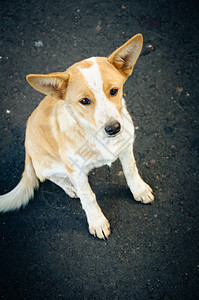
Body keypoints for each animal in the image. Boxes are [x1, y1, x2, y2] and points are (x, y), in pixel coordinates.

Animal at [0, 33, 154, 239]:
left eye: (114, 91)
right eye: (84, 101)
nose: (113, 128)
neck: (97, 137)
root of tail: (26, 145)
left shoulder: (126, 146)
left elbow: (131, 169)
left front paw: (139, 189)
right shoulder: (76, 170)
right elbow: (89, 197)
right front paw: (97, 222)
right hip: (52, 165)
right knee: (47, 177)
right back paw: (71, 187)